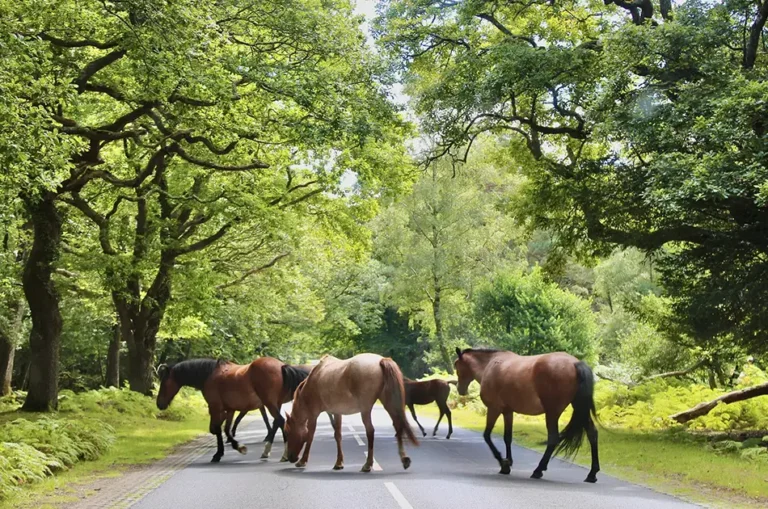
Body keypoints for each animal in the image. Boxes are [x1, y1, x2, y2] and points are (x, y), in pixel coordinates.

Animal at [156, 358, 311, 462]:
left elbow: (216, 429)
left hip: (270, 403)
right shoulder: (230, 410)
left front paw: (223, 452)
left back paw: (278, 453)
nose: (159, 404)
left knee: (280, 421)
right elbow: (226, 429)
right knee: (278, 422)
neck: (210, 375)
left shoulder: (215, 408)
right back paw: (274, 452)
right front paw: (234, 446)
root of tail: (281, 366)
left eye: (164, 382)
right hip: (274, 404)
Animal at [284, 353, 419, 472]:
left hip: (366, 410)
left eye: (288, 432)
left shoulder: (313, 414)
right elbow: (337, 435)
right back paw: (404, 459)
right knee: (398, 425)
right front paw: (339, 463)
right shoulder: (336, 413)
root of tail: (381, 360)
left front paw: (302, 461)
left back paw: (368, 465)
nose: (290, 457)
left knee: (370, 431)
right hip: (388, 403)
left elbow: (310, 435)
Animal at [454, 347, 600, 483]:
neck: (490, 365)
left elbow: (487, 436)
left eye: (457, 367)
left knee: (553, 439)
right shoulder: (508, 411)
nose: (460, 389)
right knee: (592, 433)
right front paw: (507, 463)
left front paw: (503, 463)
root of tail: (575, 363)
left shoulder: (494, 409)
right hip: (580, 409)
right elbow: (507, 437)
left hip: (552, 413)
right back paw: (592, 474)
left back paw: (538, 470)